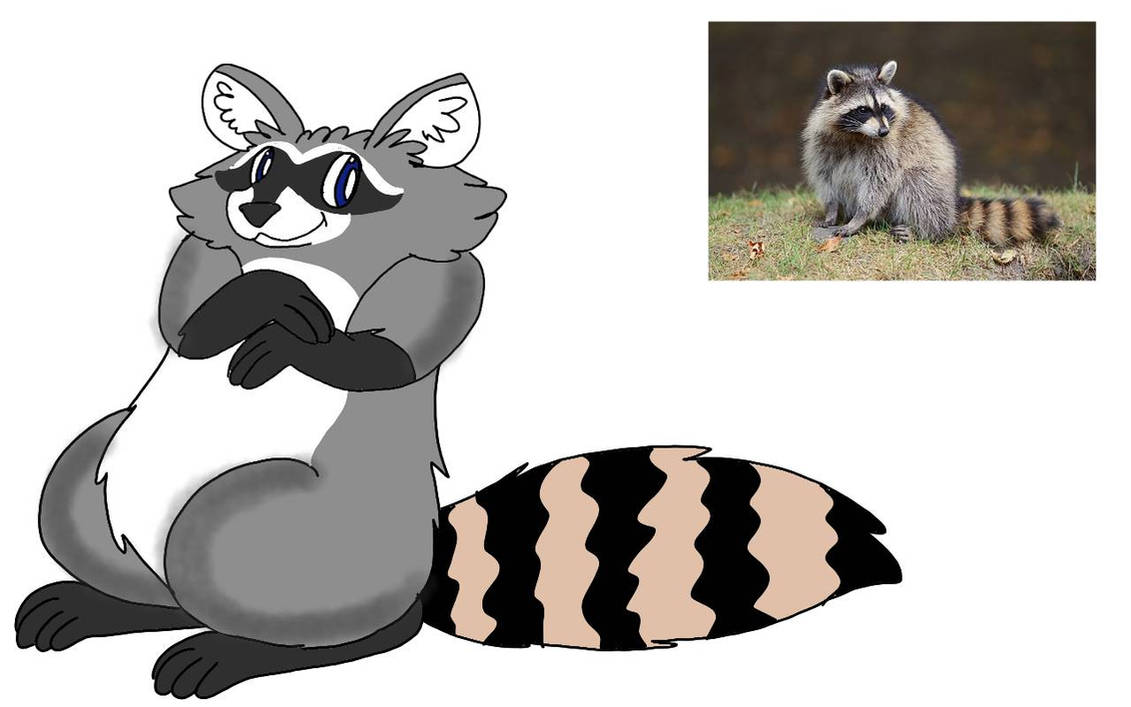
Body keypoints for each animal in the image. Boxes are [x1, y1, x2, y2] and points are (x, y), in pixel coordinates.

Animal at [16, 65, 899, 698]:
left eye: (342, 183)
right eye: (259, 165)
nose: (262, 213)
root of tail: (422, 554)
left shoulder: (439, 276)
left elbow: (391, 352)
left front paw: (297, 321)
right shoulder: (208, 259)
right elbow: (182, 320)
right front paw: (254, 298)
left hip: (306, 527)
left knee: (268, 564)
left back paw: (247, 644)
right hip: (101, 480)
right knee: (88, 482)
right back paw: (124, 601)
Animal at [801, 60, 1060, 245]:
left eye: (883, 107)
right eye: (863, 109)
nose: (884, 131)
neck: (855, 134)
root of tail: (952, 204)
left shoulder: (887, 148)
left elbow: (879, 182)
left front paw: (860, 217)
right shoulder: (822, 142)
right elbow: (826, 176)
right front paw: (832, 209)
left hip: (934, 182)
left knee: (917, 186)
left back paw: (927, 231)